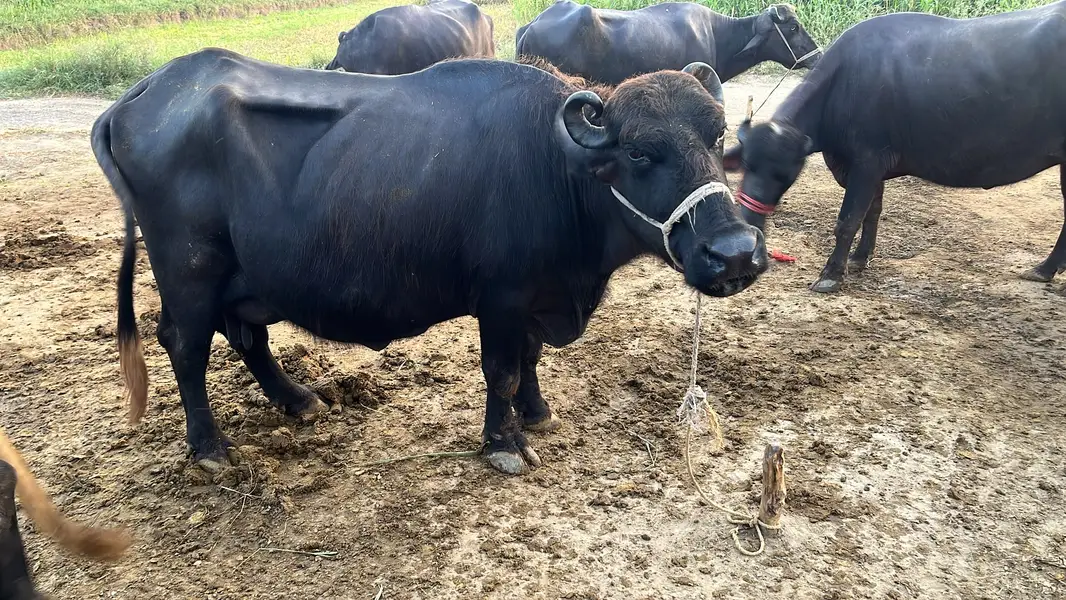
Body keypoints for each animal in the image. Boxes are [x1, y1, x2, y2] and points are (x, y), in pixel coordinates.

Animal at [91, 49, 768, 476]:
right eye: (639, 152)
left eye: (716, 135)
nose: (734, 252)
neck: (557, 164)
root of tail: (143, 93)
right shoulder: (501, 298)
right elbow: (502, 369)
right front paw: (505, 443)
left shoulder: (535, 295)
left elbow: (529, 359)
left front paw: (537, 415)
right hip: (189, 270)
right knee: (186, 344)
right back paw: (209, 448)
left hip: (246, 276)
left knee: (247, 336)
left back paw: (300, 399)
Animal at [724, 2, 1066, 293]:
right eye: (747, 165)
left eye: (785, 175)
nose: (750, 219)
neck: (844, 84)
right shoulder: (871, 170)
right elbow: (872, 212)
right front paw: (860, 258)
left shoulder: (867, 163)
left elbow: (848, 220)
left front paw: (830, 275)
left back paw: (1045, 268)